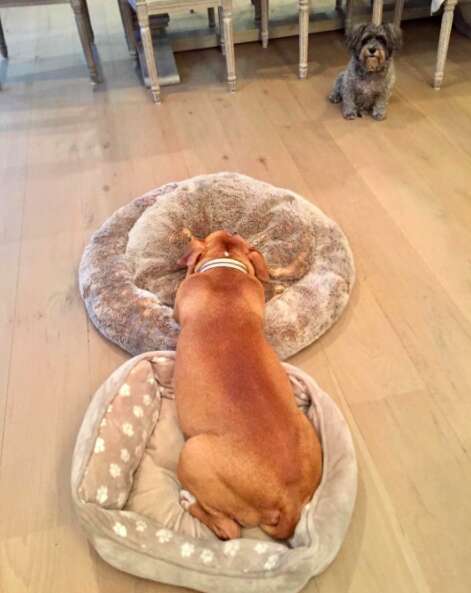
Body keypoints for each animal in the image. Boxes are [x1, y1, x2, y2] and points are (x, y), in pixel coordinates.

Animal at [175, 231, 322, 540]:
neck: (226, 267)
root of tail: (286, 500)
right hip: (305, 425)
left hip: (192, 454)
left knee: (228, 529)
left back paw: (188, 500)